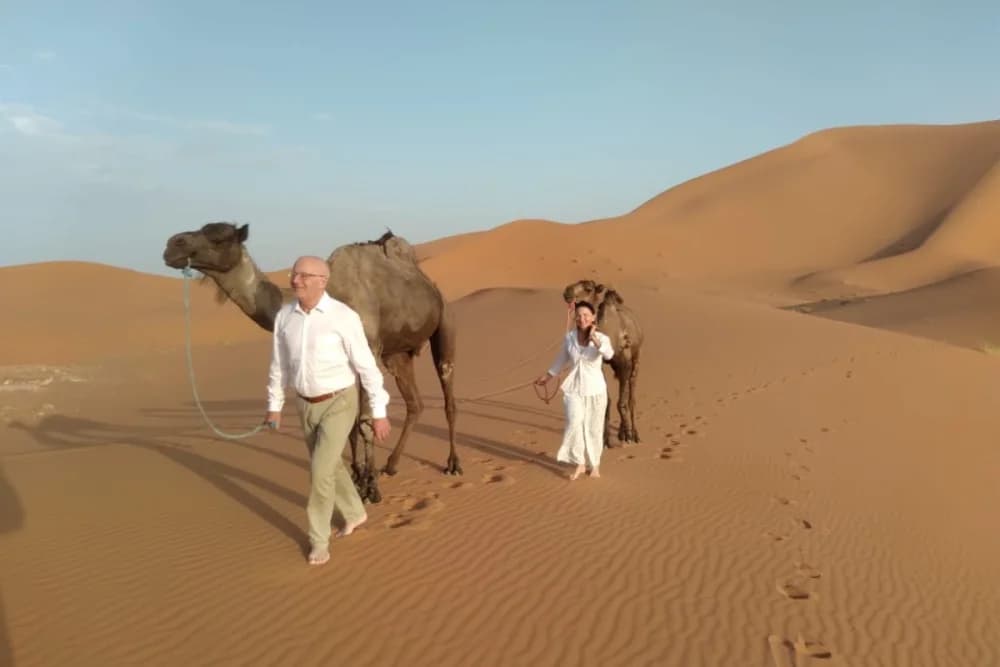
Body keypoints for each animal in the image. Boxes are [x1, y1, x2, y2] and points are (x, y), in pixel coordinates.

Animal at [163, 222, 459, 504]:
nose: (172, 244)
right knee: (415, 404)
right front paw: (357, 477)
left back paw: (453, 464)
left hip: (443, 321)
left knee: (447, 392)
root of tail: (430, 284)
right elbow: (351, 425)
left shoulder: (370, 350)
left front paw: (370, 489)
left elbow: (364, 423)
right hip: (397, 354)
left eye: (219, 238)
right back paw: (392, 465)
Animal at [562, 279, 643, 447]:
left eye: (588, 288)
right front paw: (605, 439)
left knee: (631, 395)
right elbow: (608, 401)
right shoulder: (601, 365)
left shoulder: (625, 362)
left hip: (637, 356)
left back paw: (634, 433)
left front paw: (628, 434)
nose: (567, 291)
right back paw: (621, 432)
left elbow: (622, 402)